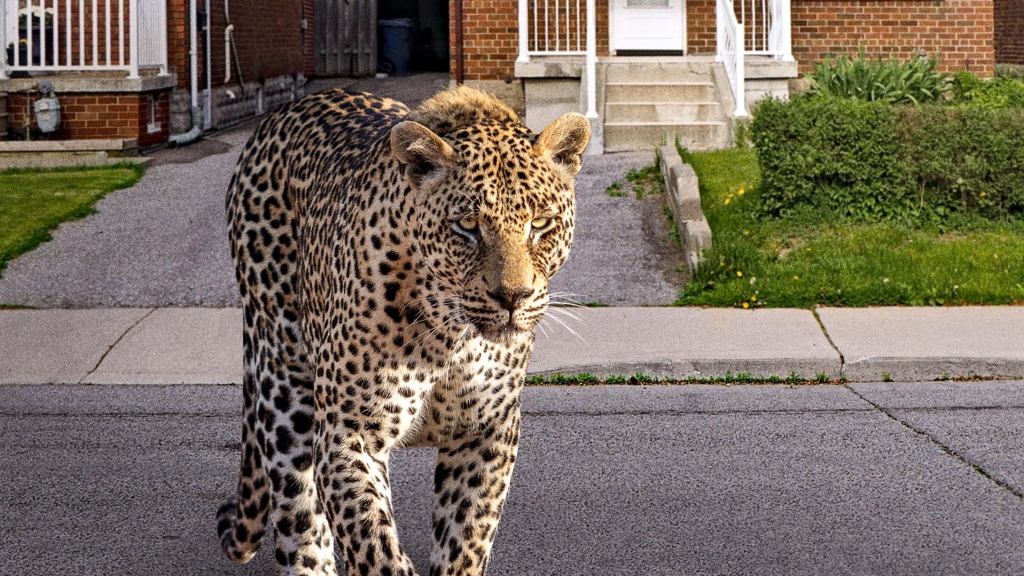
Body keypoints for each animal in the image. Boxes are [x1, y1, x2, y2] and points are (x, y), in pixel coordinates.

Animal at [220, 85, 593, 573]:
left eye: (541, 223)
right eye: (467, 226)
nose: (512, 297)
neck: (455, 338)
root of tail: (281, 113)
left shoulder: (486, 435)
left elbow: (465, 541)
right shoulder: (347, 436)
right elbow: (374, 545)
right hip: (285, 384)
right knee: (300, 517)